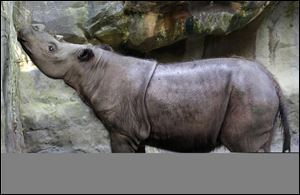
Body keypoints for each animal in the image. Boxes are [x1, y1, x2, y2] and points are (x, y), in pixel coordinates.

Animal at [17, 24, 290, 152]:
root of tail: (272, 81)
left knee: (246, 146)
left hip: (250, 95)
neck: (92, 68)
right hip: (257, 93)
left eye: (51, 48)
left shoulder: (121, 130)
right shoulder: (133, 130)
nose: (24, 30)